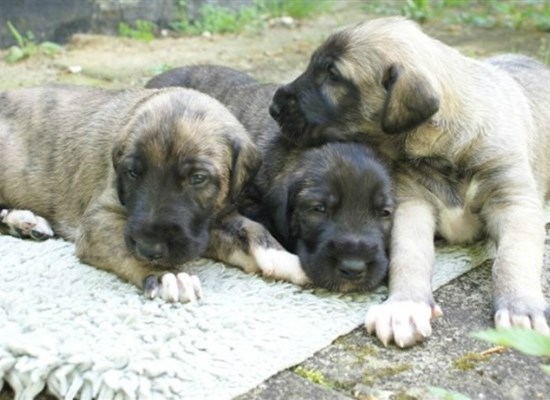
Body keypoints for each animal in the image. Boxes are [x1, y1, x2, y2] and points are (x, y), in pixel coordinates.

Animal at [0, 85, 310, 304]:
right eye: (132, 172)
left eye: (198, 178)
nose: (151, 247)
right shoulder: (99, 220)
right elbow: (125, 246)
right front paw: (168, 275)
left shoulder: (213, 219)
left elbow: (251, 230)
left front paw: (290, 262)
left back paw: (24, 222)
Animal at [270, 16, 550, 346]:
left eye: (333, 74)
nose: (273, 107)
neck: (444, 144)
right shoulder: (410, 202)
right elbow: (409, 254)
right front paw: (404, 307)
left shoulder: (512, 199)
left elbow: (514, 256)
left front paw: (522, 308)